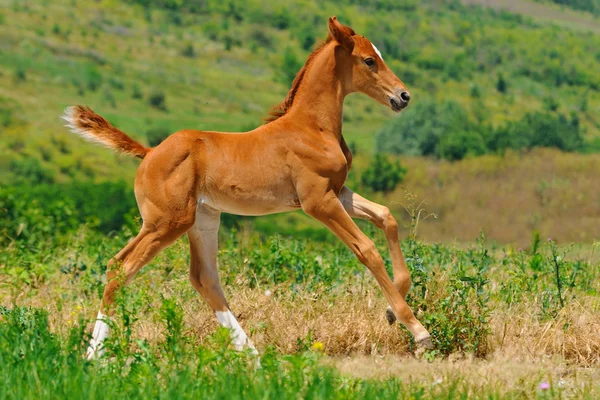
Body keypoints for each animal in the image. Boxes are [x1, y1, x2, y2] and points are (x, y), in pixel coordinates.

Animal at [64, 16, 432, 360]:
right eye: (369, 60)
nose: (403, 96)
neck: (312, 127)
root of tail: (150, 151)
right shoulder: (317, 201)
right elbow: (366, 249)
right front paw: (417, 330)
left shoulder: (338, 191)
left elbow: (386, 217)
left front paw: (391, 312)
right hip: (166, 223)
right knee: (121, 267)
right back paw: (94, 356)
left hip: (202, 219)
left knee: (204, 278)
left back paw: (252, 355)